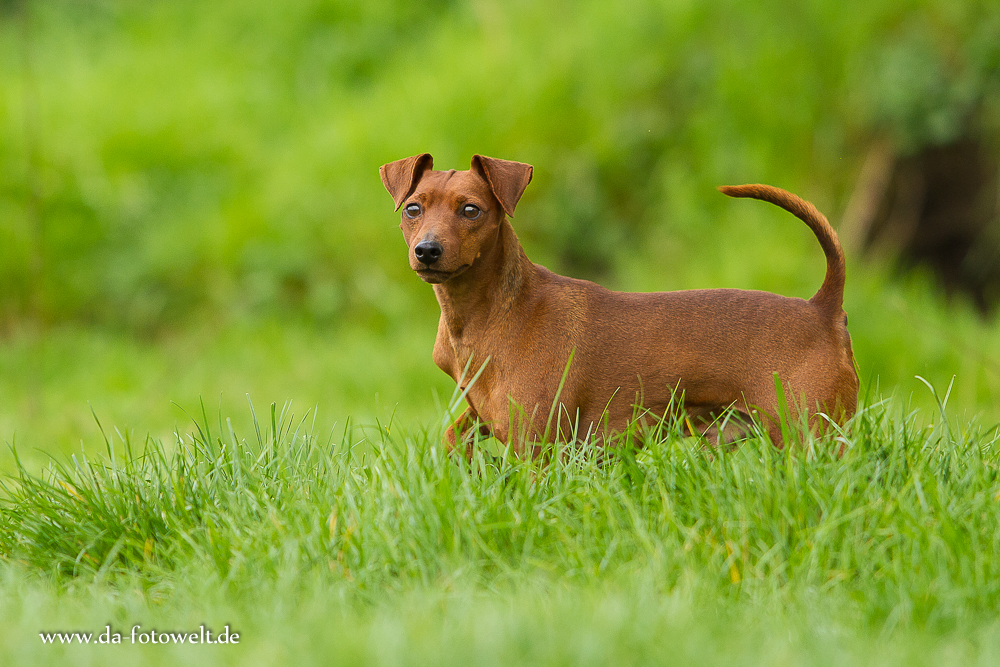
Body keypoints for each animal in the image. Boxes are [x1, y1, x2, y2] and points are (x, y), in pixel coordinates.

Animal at [378, 155, 856, 460]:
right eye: (413, 209)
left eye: (471, 210)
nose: (427, 251)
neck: (493, 312)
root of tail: (821, 308)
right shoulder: (482, 415)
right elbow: (451, 439)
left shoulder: (538, 452)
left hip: (812, 436)